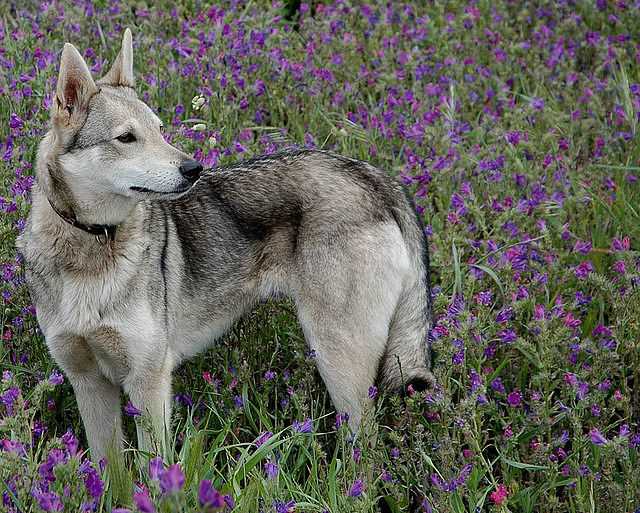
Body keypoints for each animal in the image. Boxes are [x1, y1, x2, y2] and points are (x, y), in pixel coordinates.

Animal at [16, 30, 436, 462]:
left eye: (160, 130)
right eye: (127, 138)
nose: (194, 169)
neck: (92, 245)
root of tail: (377, 177)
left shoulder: (148, 383)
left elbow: (155, 470)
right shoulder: (89, 383)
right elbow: (109, 470)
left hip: (338, 364)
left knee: (367, 452)